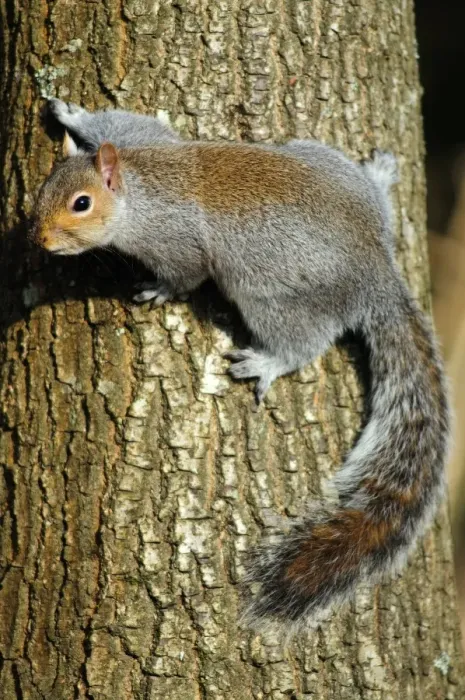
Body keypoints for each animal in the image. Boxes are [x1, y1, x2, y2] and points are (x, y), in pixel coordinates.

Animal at [31, 100, 450, 631]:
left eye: (81, 203)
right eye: (43, 188)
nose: (40, 240)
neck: (140, 188)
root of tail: (375, 272)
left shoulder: (176, 245)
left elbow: (185, 277)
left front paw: (158, 291)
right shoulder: (145, 141)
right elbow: (125, 122)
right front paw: (70, 112)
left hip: (271, 295)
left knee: (305, 342)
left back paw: (266, 362)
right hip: (318, 158)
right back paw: (378, 174)